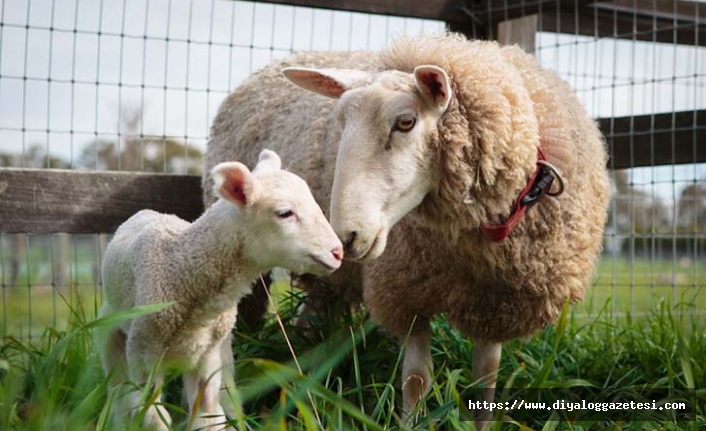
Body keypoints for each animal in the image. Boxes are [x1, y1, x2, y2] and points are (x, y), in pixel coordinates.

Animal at [95, 149, 342, 431]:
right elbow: (151, 416)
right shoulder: (143, 355)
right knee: (117, 395)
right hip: (110, 334)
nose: (338, 252)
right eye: (285, 213)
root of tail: (147, 211)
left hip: (223, 350)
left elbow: (209, 417)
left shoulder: (207, 359)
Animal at [204, 33, 612, 422]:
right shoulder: (404, 287)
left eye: (405, 122)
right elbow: (416, 380)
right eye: (340, 124)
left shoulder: (496, 303)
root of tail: (272, 65)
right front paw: (410, 420)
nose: (345, 238)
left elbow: (486, 381)